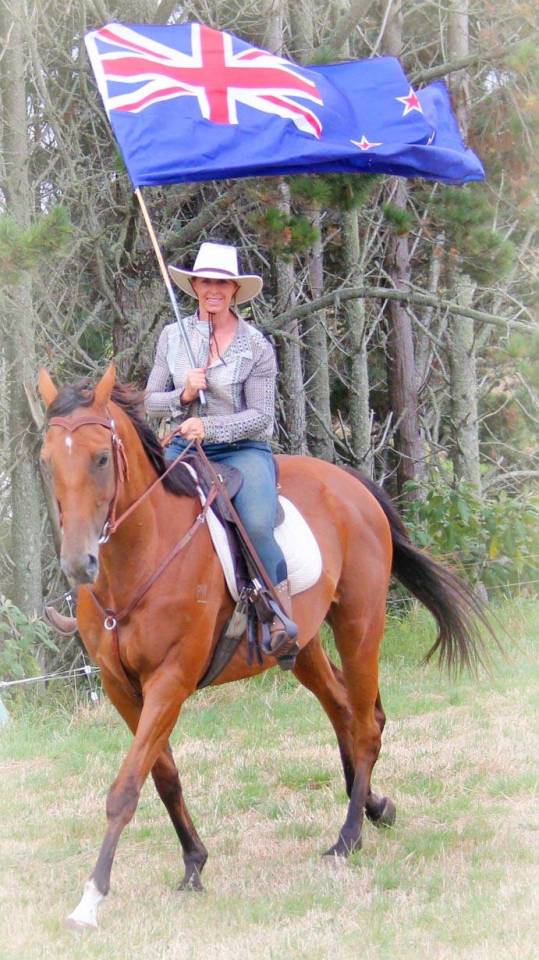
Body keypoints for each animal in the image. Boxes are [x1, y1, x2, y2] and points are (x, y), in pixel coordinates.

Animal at [38, 364, 490, 929]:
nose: (79, 563)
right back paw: (371, 805)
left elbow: (125, 788)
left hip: (360, 625)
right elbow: (162, 775)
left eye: (101, 457)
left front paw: (91, 897)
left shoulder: (170, 681)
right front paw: (194, 862)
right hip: (304, 646)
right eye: (47, 460)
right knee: (346, 712)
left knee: (365, 725)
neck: (140, 555)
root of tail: (350, 484)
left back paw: (348, 837)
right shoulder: (122, 687)